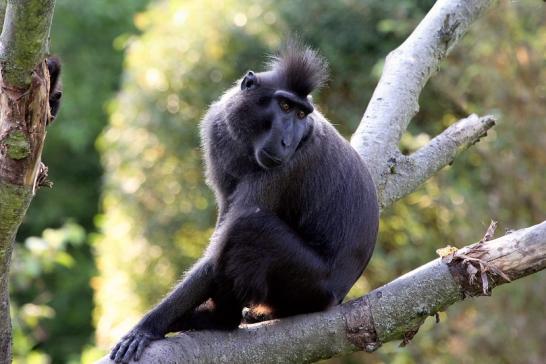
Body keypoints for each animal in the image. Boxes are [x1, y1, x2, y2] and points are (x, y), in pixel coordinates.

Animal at [108, 41, 376, 362]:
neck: (248, 143)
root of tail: (339, 295)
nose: (286, 141)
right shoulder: (217, 131)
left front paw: (146, 328)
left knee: (247, 228)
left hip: (311, 286)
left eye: (302, 115)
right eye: (285, 106)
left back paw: (222, 319)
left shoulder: (285, 167)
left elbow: (218, 251)